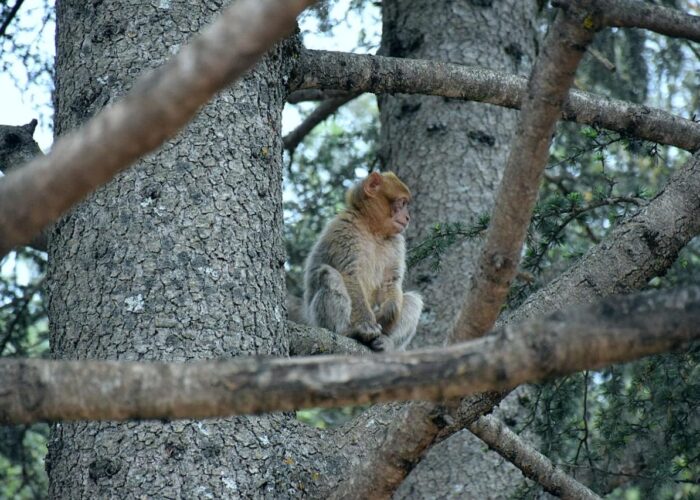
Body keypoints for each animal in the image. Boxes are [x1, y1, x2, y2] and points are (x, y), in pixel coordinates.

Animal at [302, 172, 422, 352]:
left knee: (414, 300)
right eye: (402, 203)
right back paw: (348, 332)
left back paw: (386, 342)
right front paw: (367, 324)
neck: (373, 229)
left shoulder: (397, 242)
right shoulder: (344, 230)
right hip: (317, 321)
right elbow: (350, 275)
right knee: (329, 274)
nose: (407, 217)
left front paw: (387, 313)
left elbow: (391, 281)